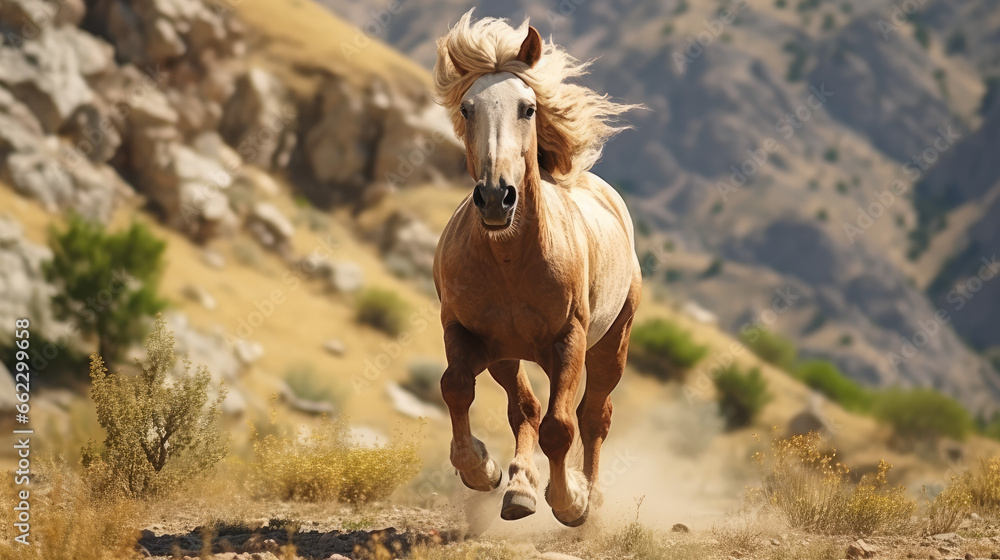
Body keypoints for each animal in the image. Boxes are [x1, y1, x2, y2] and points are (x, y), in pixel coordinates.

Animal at [431, 11, 642, 527]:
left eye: (527, 108)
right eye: (467, 108)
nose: (495, 196)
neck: (511, 260)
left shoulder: (569, 340)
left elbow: (561, 427)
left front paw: (571, 502)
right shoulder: (464, 331)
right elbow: (456, 388)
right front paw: (482, 470)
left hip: (610, 345)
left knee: (594, 416)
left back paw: (588, 495)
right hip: (507, 353)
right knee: (524, 408)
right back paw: (519, 491)